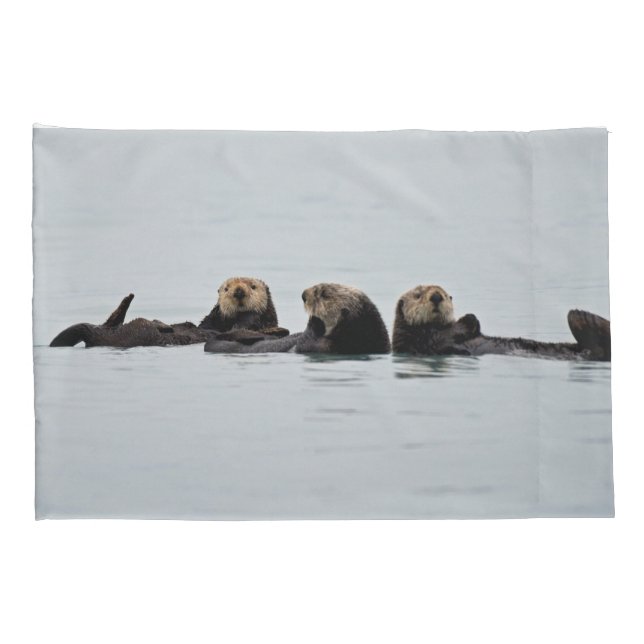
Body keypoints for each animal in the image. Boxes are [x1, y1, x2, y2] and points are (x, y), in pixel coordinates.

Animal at [49, 277, 288, 348]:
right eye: (227, 288)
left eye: (253, 287)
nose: (238, 292)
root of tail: (95, 335)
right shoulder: (212, 322)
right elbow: (206, 323)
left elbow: (251, 324)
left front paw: (251, 312)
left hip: (135, 333)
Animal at [392, 285, 610, 361]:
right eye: (418, 295)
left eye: (445, 295)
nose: (436, 297)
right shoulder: (425, 342)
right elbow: (446, 337)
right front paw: (468, 319)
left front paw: (472, 318)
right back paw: (581, 316)